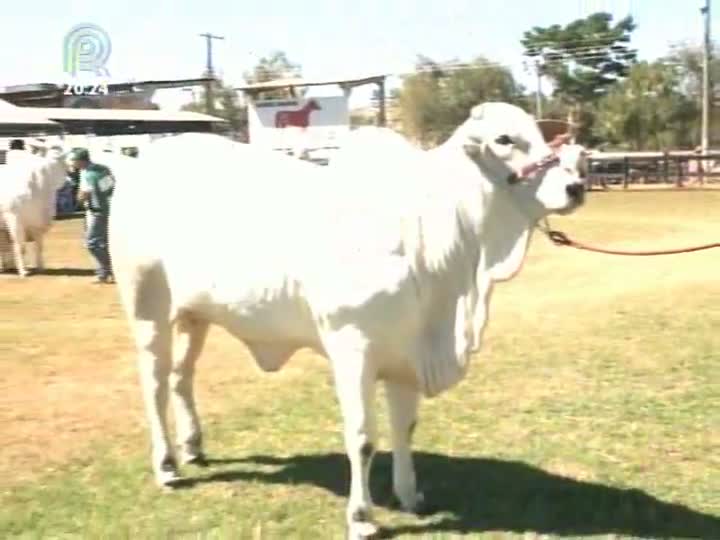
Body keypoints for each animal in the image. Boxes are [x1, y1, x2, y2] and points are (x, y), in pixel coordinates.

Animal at [109, 101, 588, 536]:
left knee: (180, 376)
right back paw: (167, 465)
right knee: (154, 383)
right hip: (146, 307)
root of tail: (140, 163)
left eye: (541, 135)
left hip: (194, 314)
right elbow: (362, 437)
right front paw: (361, 517)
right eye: (504, 139)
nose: (576, 187)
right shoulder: (353, 350)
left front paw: (410, 495)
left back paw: (192, 447)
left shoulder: (405, 358)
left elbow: (404, 428)